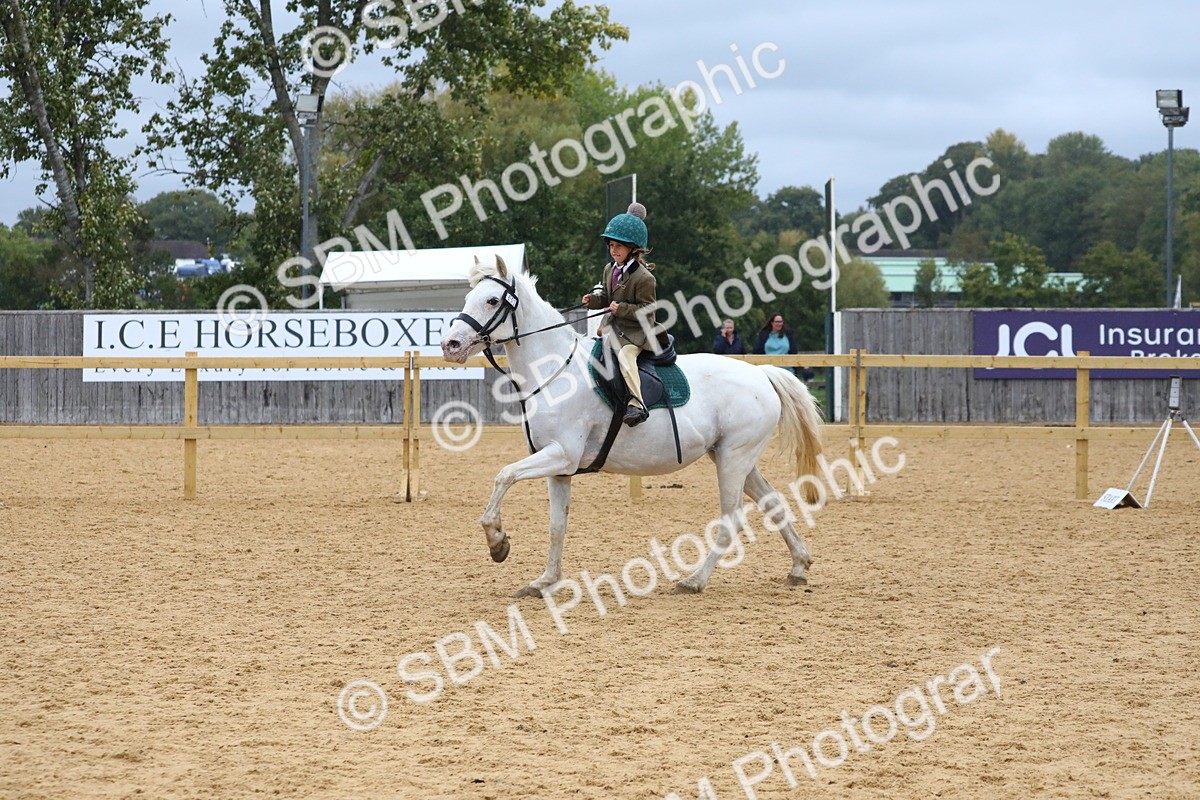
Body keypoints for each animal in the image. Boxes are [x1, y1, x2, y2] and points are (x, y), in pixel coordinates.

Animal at [439, 255, 824, 596]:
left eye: (492, 300)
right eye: (468, 298)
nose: (450, 344)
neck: (554, 370)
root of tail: (761, 373)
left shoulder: (561, 454)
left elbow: (503, 476)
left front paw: (497, 542)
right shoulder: (559, 468)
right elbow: (557, 526)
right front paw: (544, 582)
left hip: (733, 459)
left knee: (731, 520)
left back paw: (693, 581)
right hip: (734, 458)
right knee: (773, 503)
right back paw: (799, 566)